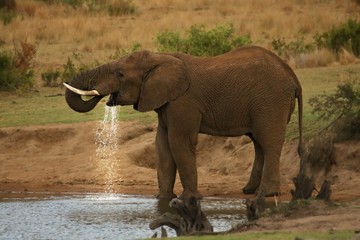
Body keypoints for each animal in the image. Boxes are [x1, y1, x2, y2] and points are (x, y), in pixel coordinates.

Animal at [63, 46, 302, 200]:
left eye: (120, 74)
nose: (107, 98)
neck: (160, 58)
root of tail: (292, 74)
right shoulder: (166, 102)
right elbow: (162, 145)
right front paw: (163, 198)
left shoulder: (183, 101)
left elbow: (179, 143)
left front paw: (190, 198)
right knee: (258, 143)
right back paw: (249, 191)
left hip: (270, 101)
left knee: (268, 141)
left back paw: (266, 193)